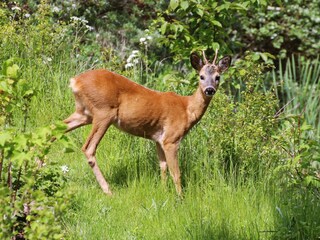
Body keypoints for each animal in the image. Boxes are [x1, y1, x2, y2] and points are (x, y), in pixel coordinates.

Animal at [63, 50, 231, 195]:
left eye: (218, 77)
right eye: (201, 76)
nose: (209, 89)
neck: (187, 109)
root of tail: (75, 81)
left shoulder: (158, 139)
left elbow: (162, 167)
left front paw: (163, 191)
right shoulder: (171, 138)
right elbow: (176, 173)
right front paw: (180, 198)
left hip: (84, 113)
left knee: (58, 127)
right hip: (103, 112)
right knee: (88, 148)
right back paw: (108, 190)